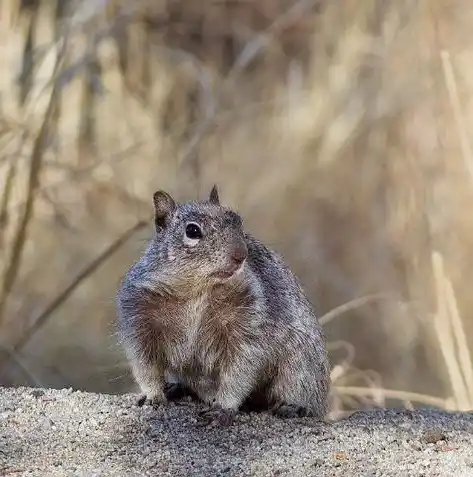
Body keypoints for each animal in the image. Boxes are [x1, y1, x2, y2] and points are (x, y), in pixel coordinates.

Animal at [115, 185, 328, 424]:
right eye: (192, 231)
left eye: (239, 222)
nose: (241, 254)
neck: (197, 290)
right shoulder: (139, 321)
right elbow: (145, 367)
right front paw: (152, 396)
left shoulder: (249, 330)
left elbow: (238, 373)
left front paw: (223, 408)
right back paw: (176, 388)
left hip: (301, 367)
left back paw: (294, 407)